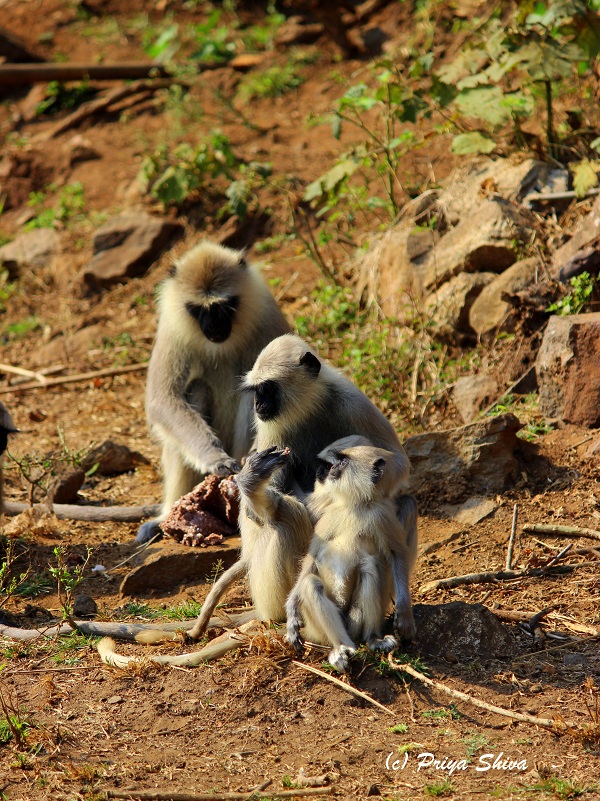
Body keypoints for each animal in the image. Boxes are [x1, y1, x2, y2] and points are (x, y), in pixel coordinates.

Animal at [135, 239, 288, 544]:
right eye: (199, 310)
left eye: (223, 307)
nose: (214, 327)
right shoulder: (172, 328)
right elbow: (162, 400)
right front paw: (215, 459)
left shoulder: (266, 315)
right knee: (195, 391)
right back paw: (167, 515)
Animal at [286, 440, 418, 672]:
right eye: (336, 461)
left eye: (343, 462)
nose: (329, 470)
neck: (355, 506)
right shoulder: (328, 517)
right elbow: (311, 560)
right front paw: (292, 614)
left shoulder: (382, 516)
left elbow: (397, 555)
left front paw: (404, 614)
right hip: (317, 630)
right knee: (311, 584)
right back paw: (341, 648)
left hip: (355, 620)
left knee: (369, 567)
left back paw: (373, 639)